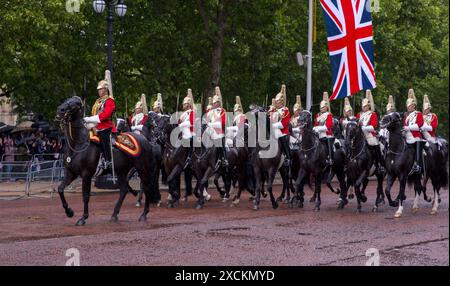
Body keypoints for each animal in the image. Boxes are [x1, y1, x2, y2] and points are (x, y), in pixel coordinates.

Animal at [55, 97, 158, 225]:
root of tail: (145, 140)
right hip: (122, 171)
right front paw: (69, 212)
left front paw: (83, 218)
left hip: (142, 168)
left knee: (146, 187)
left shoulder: (86, 174)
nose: (60, 110)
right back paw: (114, 215)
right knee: (123, 190)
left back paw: (143, 214)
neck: (77, 145)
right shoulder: (71, 173)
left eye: (75, 104)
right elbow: (60, 189)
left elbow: (85, 196)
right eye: (67, 100)